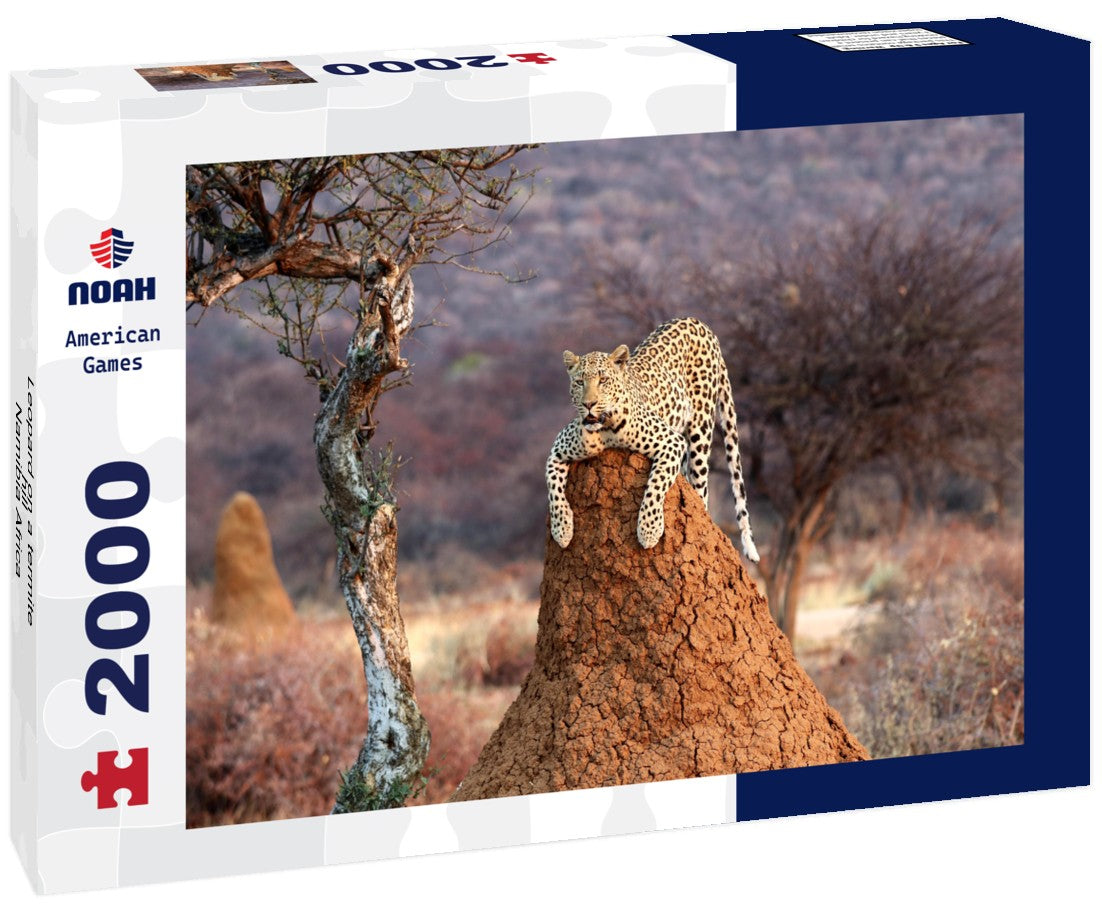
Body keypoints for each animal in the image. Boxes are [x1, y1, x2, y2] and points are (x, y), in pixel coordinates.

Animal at [546, 316, 759, 561]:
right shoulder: (557, 451)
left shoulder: (671, 442)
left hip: (701, 429)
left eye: (603, 380)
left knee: (701, 489)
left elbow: (656, 485)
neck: (605, 429)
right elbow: (554, 491)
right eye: (580, 382)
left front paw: (649, 531)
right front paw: (562, 531)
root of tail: (697, 321)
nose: (588, 404)